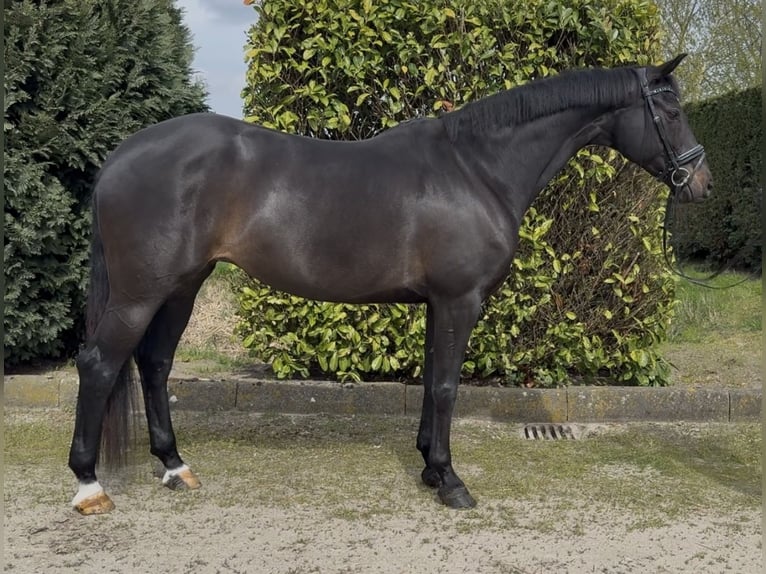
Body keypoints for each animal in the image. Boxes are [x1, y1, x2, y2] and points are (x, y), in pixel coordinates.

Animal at [69, 54, 711, 514]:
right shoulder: (458, 301)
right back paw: (89, 486)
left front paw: (429, 466)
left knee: (154, 364)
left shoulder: (436, 304)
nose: (700, 184)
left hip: (182, 286)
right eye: (672, 112)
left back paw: (176, 467)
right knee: (100, 364)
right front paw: (451, 482)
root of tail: (121, 156)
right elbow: (447, 387)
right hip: (141, 292)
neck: (475, 169)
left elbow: (430, 382)